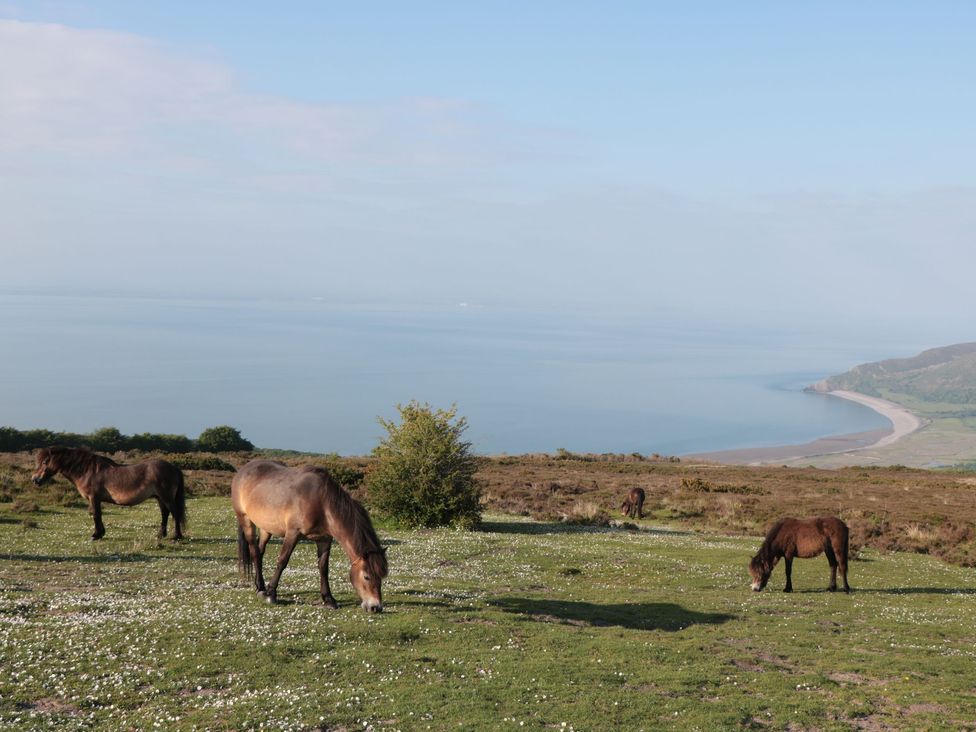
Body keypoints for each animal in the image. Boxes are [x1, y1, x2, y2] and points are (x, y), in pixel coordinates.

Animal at [31, 444, 186, 540]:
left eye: (44, 462)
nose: (35, 479)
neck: (87, 471)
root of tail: (173, 467)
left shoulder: (94, 498)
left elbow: (96, 515)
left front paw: (96, 535)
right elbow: (98, 515)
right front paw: (100, 533)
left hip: (166, 497)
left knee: (175, 513)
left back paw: (176, 536)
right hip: (159, 498)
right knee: (165, 514)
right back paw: (161, 535)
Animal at [233, 464, 388, 612]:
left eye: (382, 576)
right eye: (366, 576)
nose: (376, 607)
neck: (321, 502)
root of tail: (243, 470)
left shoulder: (324, 539)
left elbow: (323, 568)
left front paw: (329, 599)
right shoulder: (293, 533)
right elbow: (282, 561)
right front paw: (271, 594)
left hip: (266, 528)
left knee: (260, 553)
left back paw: (259, 587)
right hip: (246, 520)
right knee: (254, 551)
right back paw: (261, 587)